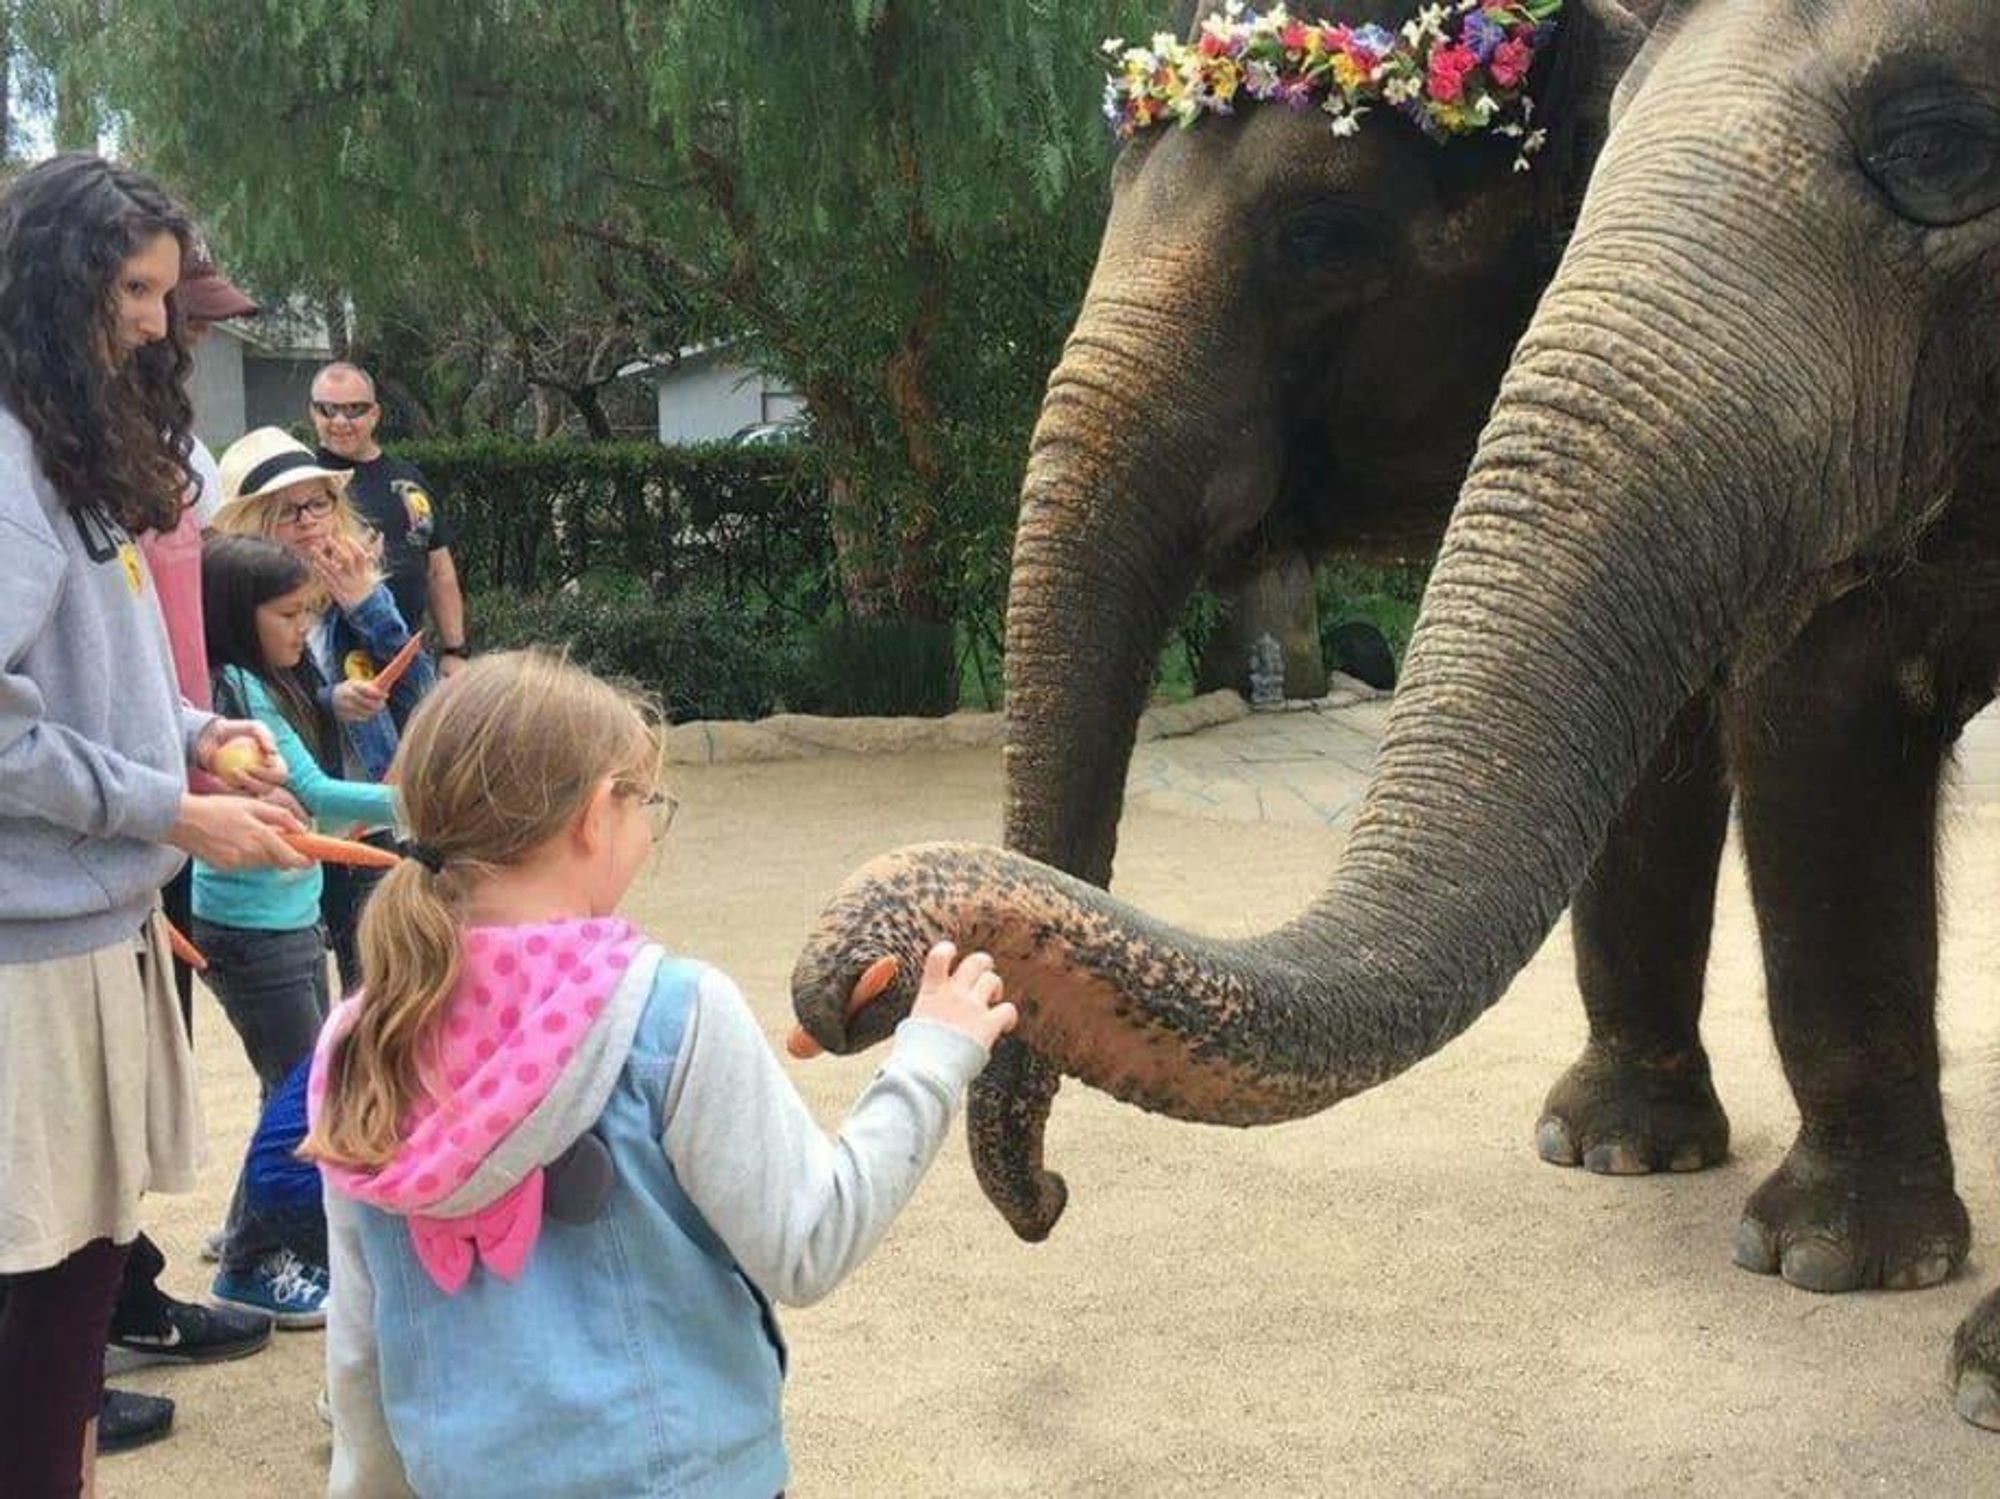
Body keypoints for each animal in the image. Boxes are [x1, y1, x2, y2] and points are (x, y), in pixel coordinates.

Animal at [791, 0, 2000, 1425]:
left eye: (1320, 236)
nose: (1047, 1199)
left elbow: (1790, 725)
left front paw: (1859, 1291)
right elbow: (1800, 722)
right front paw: (1671, 1182)